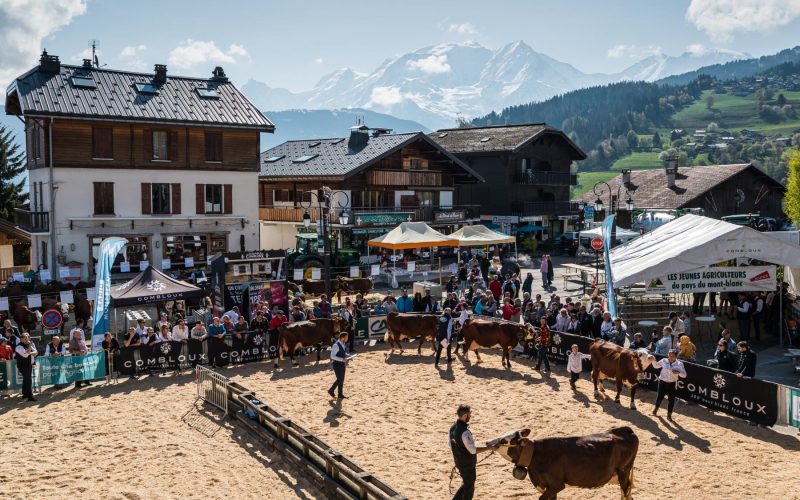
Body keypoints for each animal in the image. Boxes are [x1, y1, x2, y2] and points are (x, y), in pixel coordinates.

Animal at [490, 426, 640, 500]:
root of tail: (626, 430)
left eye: (504, 440)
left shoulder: (557, 484)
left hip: (624, 472)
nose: (488, 442)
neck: (537, 453)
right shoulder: (549, 486)